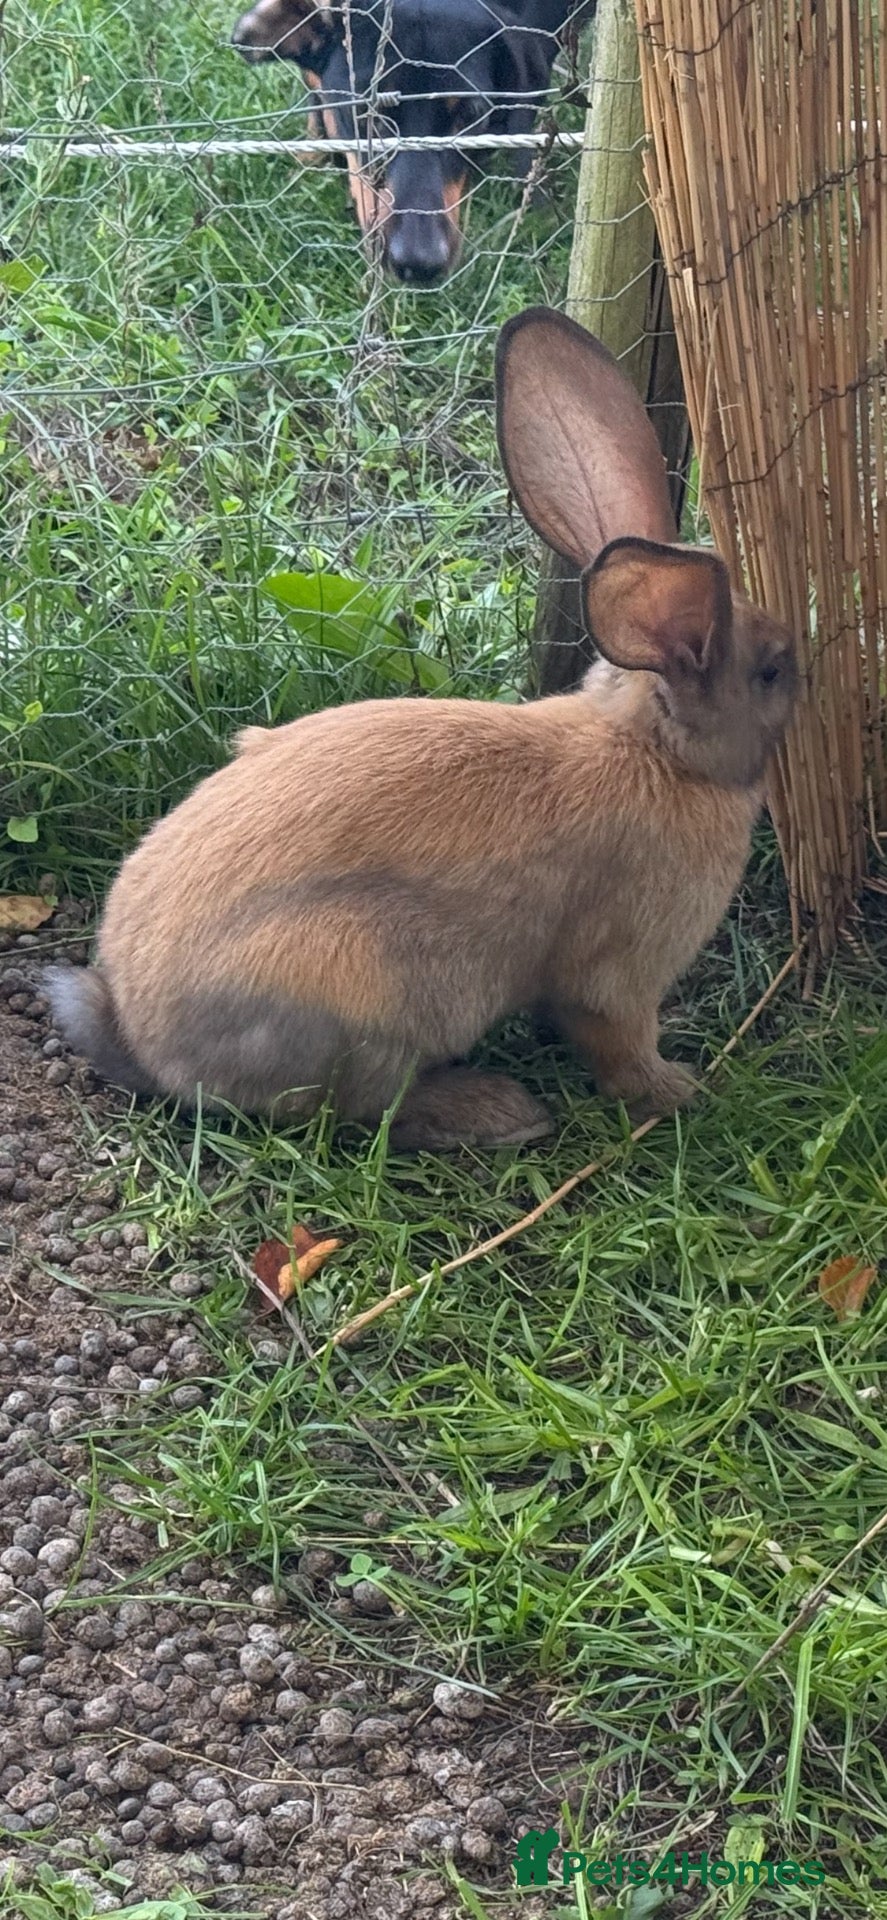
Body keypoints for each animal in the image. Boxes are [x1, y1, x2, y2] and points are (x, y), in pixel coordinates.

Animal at [47, 306, 797, 1151]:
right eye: (770, 671)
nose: (801, 665)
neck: (657, 750)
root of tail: (150, 1045)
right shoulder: (619, 975)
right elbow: (615, 1041)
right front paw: (678, 1091)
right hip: (362, 990)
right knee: (363, 1110)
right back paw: (498, 1112)